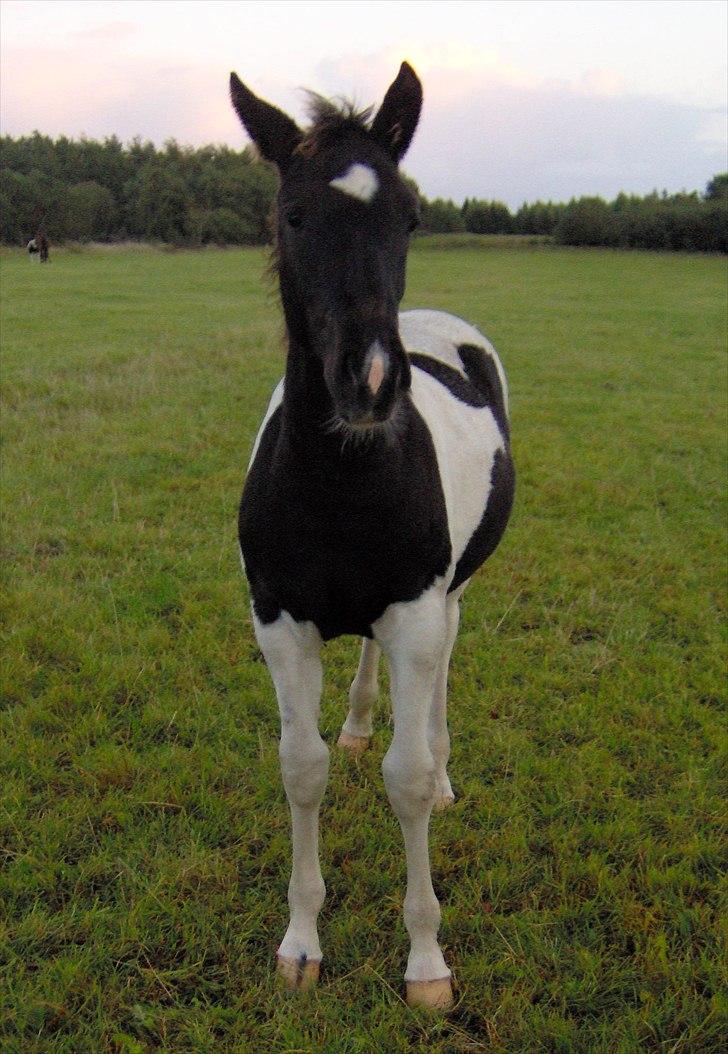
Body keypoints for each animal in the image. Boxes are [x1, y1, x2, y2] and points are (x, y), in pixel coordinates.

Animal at [230, 61, 516, 1007]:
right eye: (292, 214)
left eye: (411, 215)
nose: (372, 382)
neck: (341, 484)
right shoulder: (280, 622)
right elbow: (303, 767)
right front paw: (300, 944)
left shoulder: (416, 616)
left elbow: (408, 779)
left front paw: (426, 960)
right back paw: (359, 720)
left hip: (447, 601)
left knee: (441, 683)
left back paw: (444, 759)